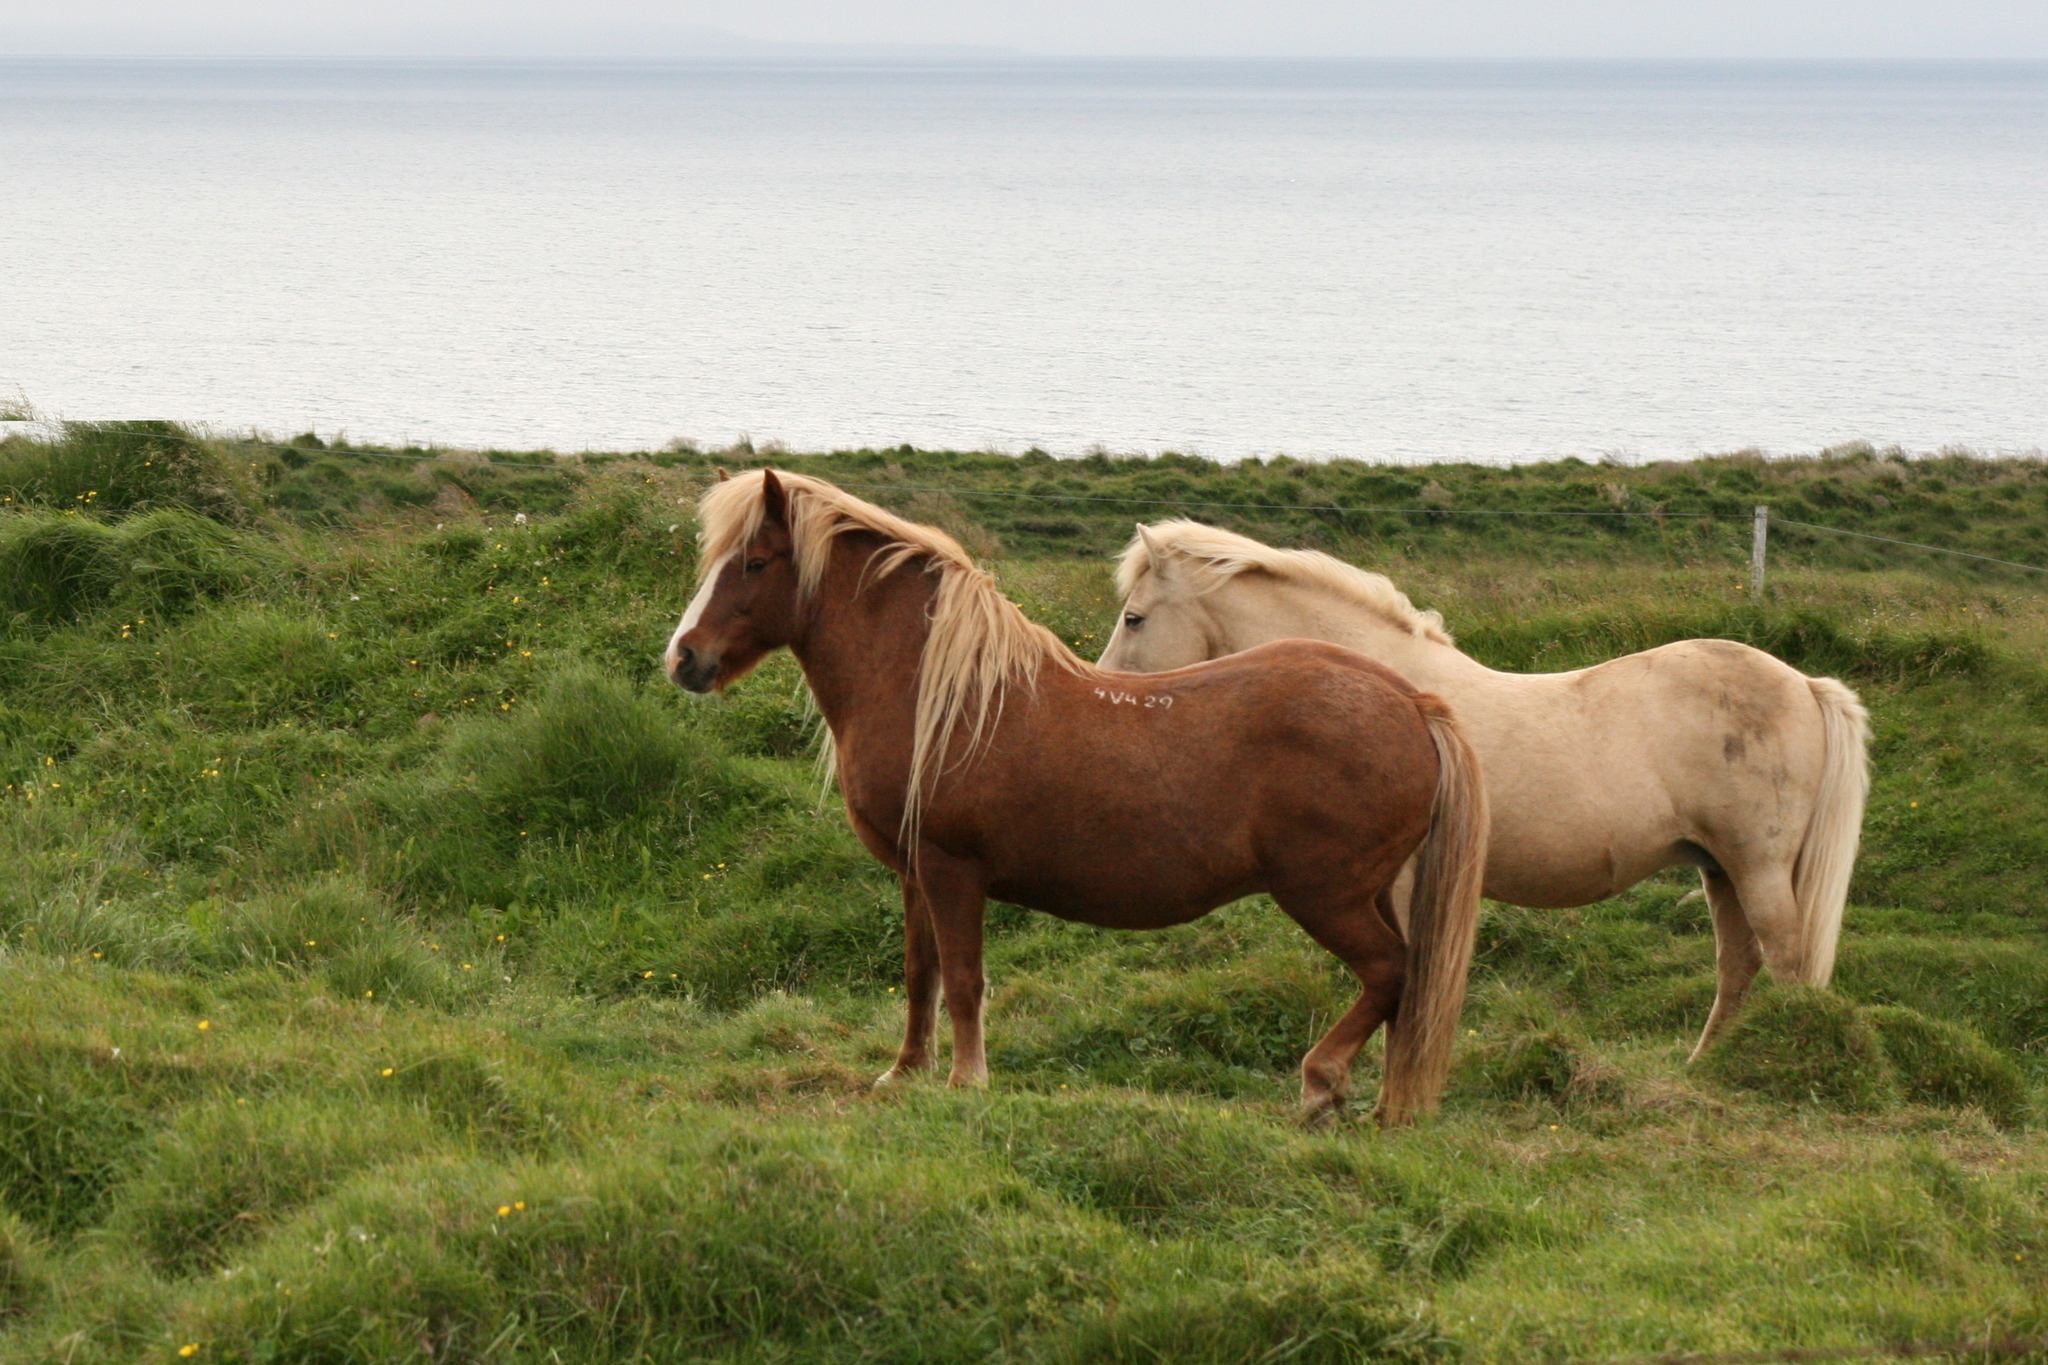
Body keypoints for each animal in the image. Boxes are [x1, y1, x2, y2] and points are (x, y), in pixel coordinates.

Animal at [671, 470, 1490, 1121]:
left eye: (754, 562)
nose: (684, 659)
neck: (943, 692)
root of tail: (1411, 700)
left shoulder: (951, 869)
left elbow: (962, 979)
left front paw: (966, 1081)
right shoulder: (915, 873)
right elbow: (919, 975)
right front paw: (905, 1073)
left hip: (1326, 895)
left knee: (1390, 973)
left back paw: (1321, 1084)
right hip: (1370, 892)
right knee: (1405, 992)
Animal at [1105, 523, 1875, 1055]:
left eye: (1135, 616)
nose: (1106, 692)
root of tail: (1804, 683)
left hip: (1759, 867)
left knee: (1787, 962)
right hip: (1721, 869)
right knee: (1740, 966)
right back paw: (1702, 1066)